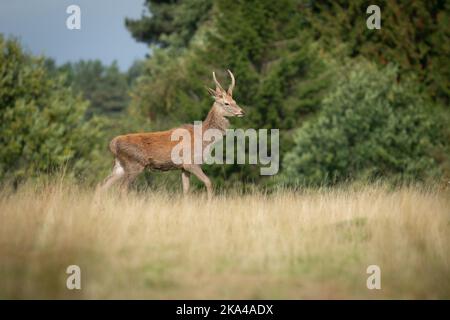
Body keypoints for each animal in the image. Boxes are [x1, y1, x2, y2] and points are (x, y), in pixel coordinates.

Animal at [98, 71, 244, 199]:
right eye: (226, 103)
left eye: (235, 100)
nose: (242, 111)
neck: (204, 139)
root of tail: (112, 144)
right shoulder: (190, 162)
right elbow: (209, 182)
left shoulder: (183, 168)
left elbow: (186, 190)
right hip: (134, 164)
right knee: (122, 189)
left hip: (120, 166)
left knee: (102, 186)